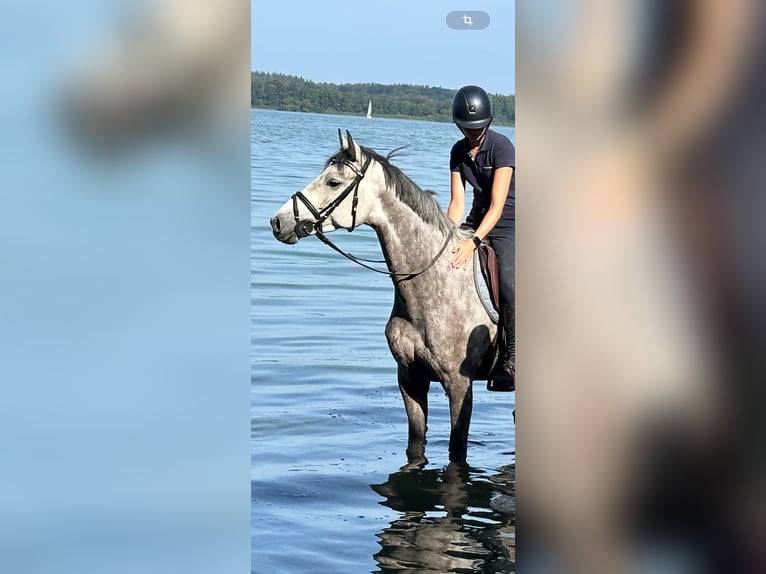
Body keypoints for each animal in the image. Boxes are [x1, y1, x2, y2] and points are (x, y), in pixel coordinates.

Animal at [272, 130, 500, 464]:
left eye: (333, 182)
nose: (278, 222)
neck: (430, 283)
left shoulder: (460, 385)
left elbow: (456, 448)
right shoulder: (409, 378)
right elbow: (415, 442)